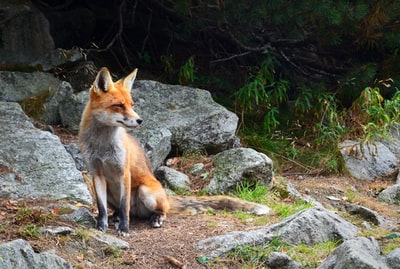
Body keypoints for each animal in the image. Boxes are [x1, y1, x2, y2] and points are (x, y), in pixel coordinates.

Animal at [79, 67, 270, 234]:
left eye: (132, 105)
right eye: (119, 105)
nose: (140, 120)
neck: (102, 146)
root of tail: (166, 197)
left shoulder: (123, 172)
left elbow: (125, 205)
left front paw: (125, 229)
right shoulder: (96, 173)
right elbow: (102, 209)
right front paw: (101, 226)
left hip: (146, 192)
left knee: (152, 211)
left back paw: (155, 218)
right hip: (110, 193)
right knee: (122, 210)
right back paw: (116, 217)